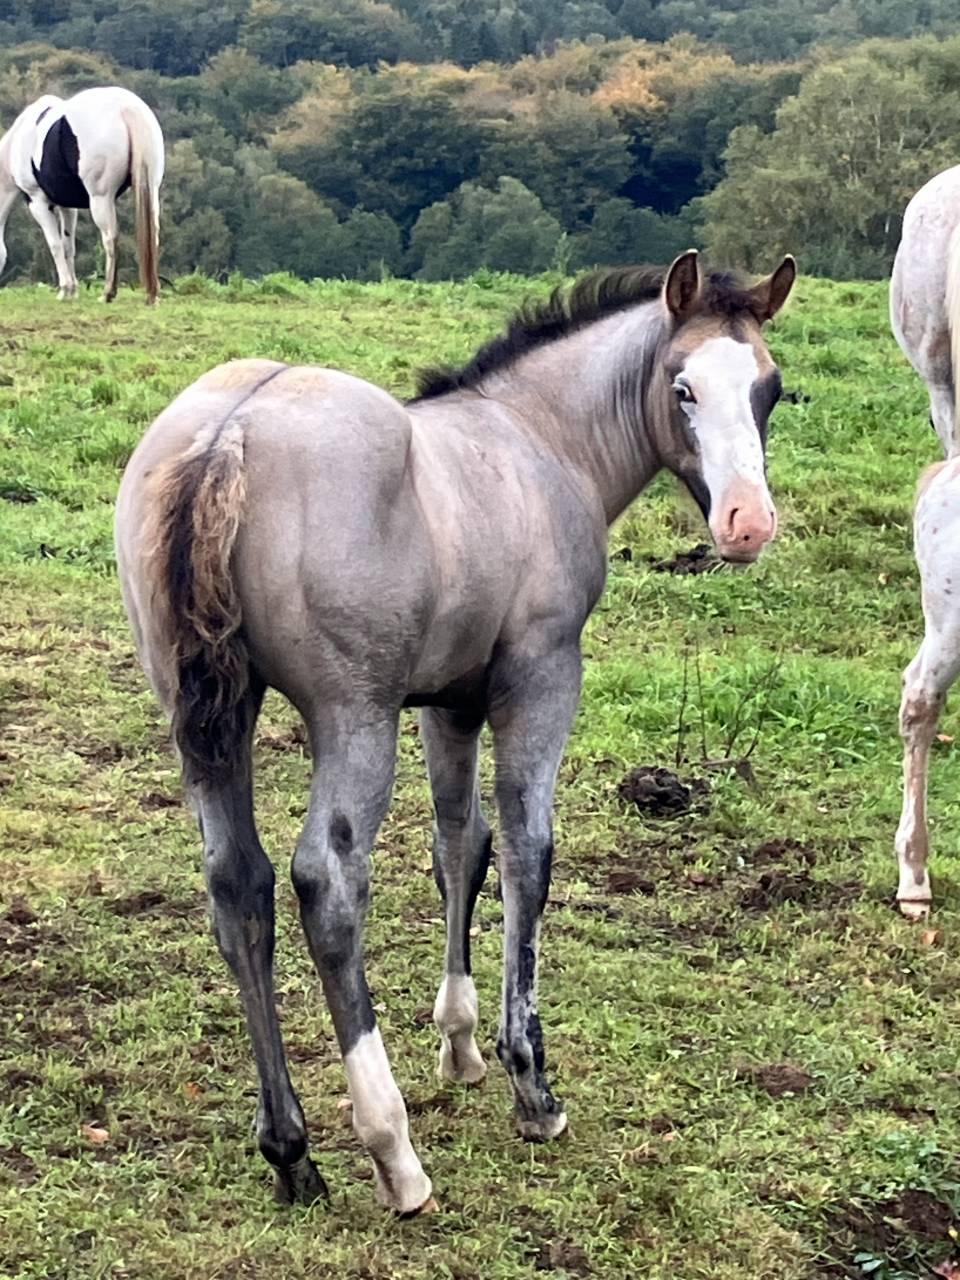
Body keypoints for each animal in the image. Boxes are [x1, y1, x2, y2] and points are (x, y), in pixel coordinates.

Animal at [0, 86, 163, 304]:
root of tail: (126, 108)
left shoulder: (37, 201)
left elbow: (55, 245)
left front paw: (64, 290)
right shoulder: (67, 206)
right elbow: (68, 246)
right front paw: (72, 291)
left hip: (100, 198)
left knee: (110, 237)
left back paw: (108, 293)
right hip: (151, 188)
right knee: (153, 236)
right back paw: (152, 294)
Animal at [115, 249, 795, 1213]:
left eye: (770, 388)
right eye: (683, 386)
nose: (747, 523)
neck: (537, 440)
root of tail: (227, 436)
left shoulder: (450, 702)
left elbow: (458, 849)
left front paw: (461, 1045)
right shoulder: (540, 678)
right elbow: (525, 853)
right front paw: (528, 1080)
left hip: (206, 715)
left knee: (237, 884)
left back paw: (291, 1151)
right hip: (353, 715)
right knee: (327, 883)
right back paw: (393, 1152)